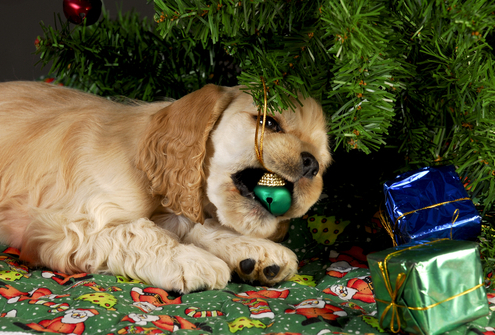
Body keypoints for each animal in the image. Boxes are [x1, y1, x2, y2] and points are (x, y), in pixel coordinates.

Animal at [0, 81, 334, 294]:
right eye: (269, 122)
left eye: (324, 159)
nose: (311, 164)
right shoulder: (64, 227)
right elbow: (138, 232)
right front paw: (191, 260)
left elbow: (193, 225)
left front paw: (256, 251)